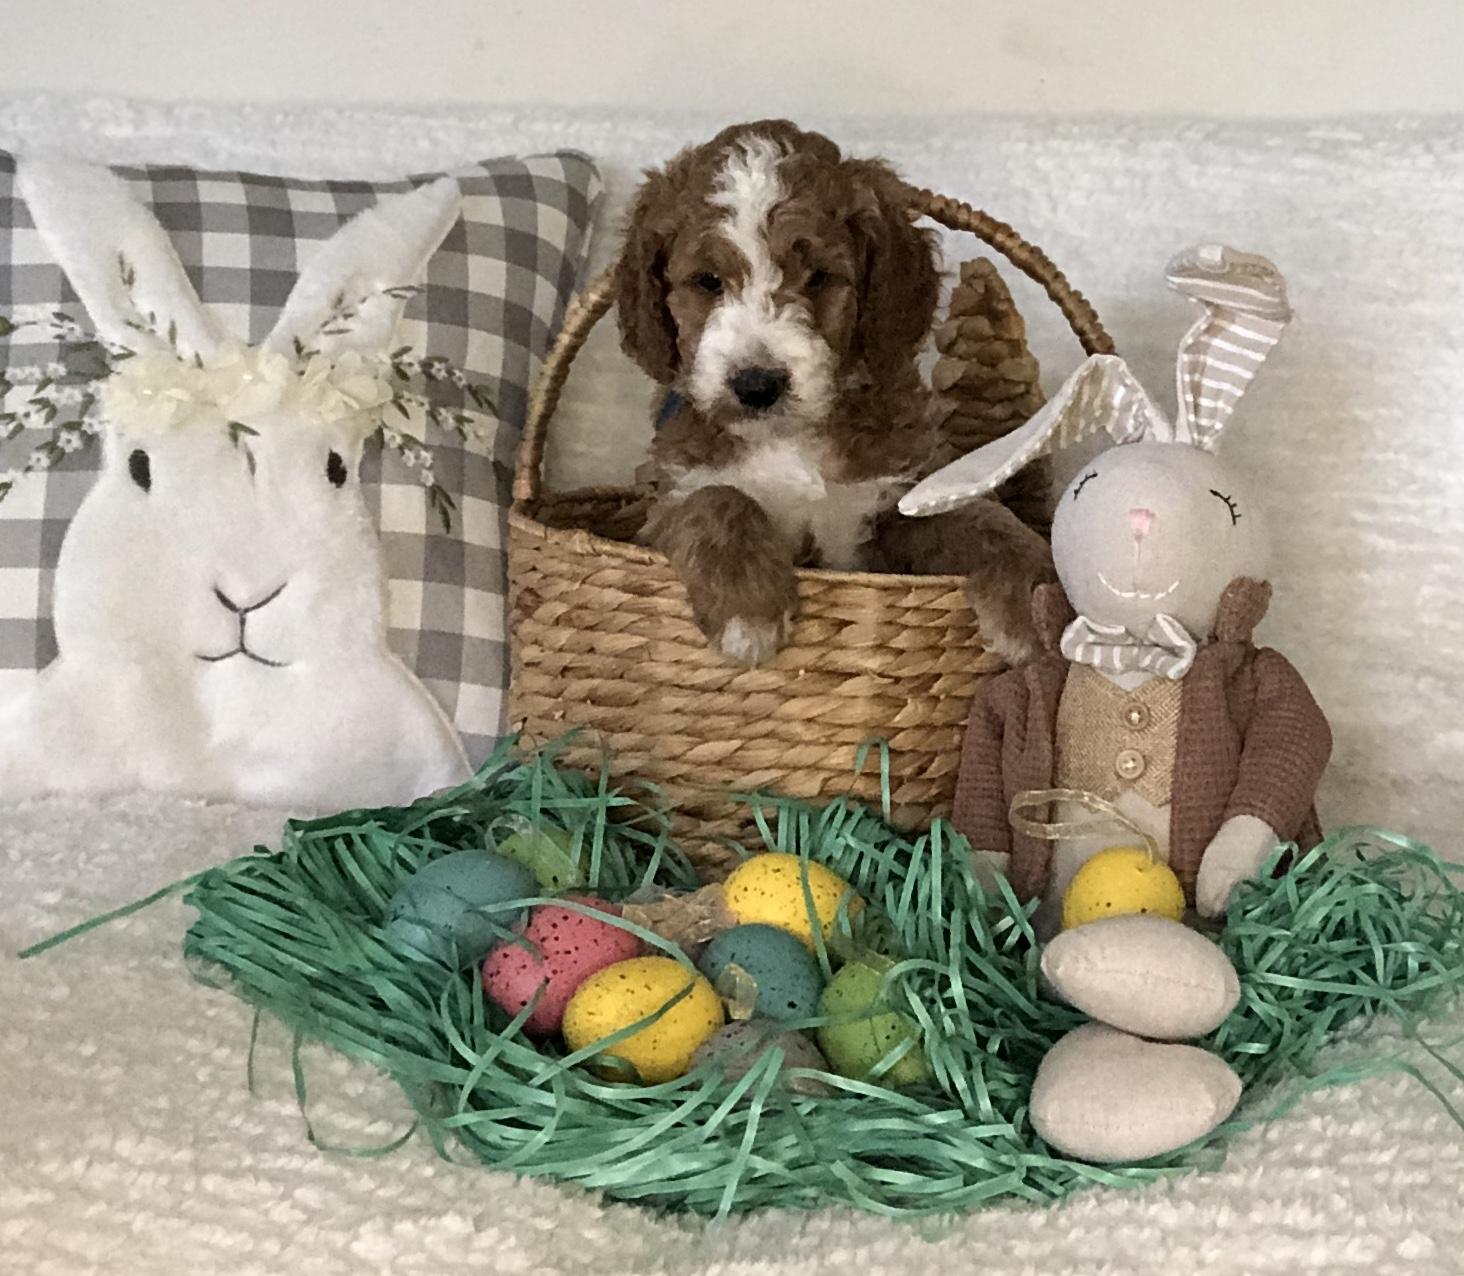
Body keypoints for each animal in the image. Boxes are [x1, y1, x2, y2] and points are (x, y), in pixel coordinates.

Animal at [616, 119, 1054, 666]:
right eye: (708, 281)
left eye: (819, 277)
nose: (756, 384)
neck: (787, 440)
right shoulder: (664, 504)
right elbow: (717, 497)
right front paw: (747, 609)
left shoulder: (890, 501)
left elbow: (976, 515)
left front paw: (1035, 588)